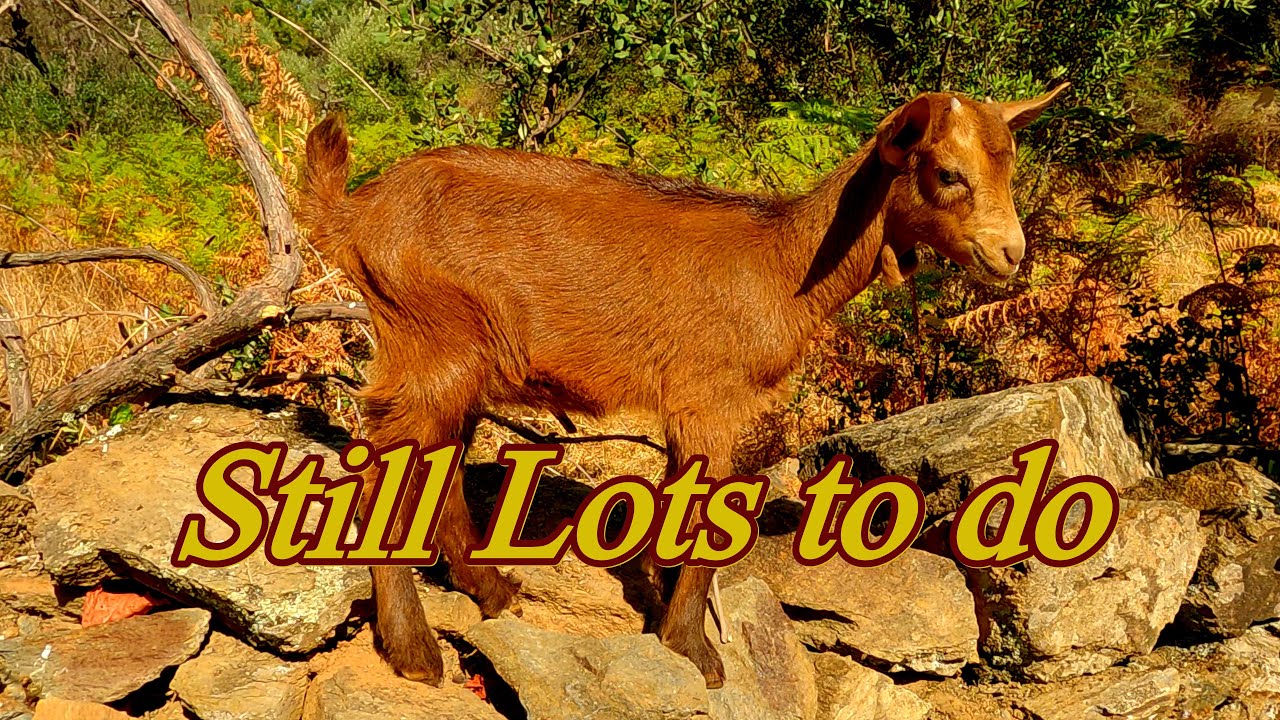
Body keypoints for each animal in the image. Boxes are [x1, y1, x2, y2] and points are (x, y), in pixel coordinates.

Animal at [300, 83, 1069, 688]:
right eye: (947, 172)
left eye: (1009, 166)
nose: (1009, 253)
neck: (780, 264)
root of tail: (355, 212)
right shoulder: (710, 398)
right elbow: (704, 522)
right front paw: (695, 652)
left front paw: (667, 608)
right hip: (428, 340)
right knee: (382, 474)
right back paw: (414, 651)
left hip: (456, 356)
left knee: (439, 467)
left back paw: (494, 592)